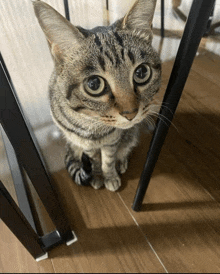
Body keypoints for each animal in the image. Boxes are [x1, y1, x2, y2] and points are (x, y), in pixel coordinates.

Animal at [33, 0, 160, 192]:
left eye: (141, 72)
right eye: (94, 84)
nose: (131, 114)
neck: (92, 127)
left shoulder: (112, 140)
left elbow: (108, 160)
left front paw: (110, 176)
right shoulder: (86, 145)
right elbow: (95, 160)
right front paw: (98, 176)